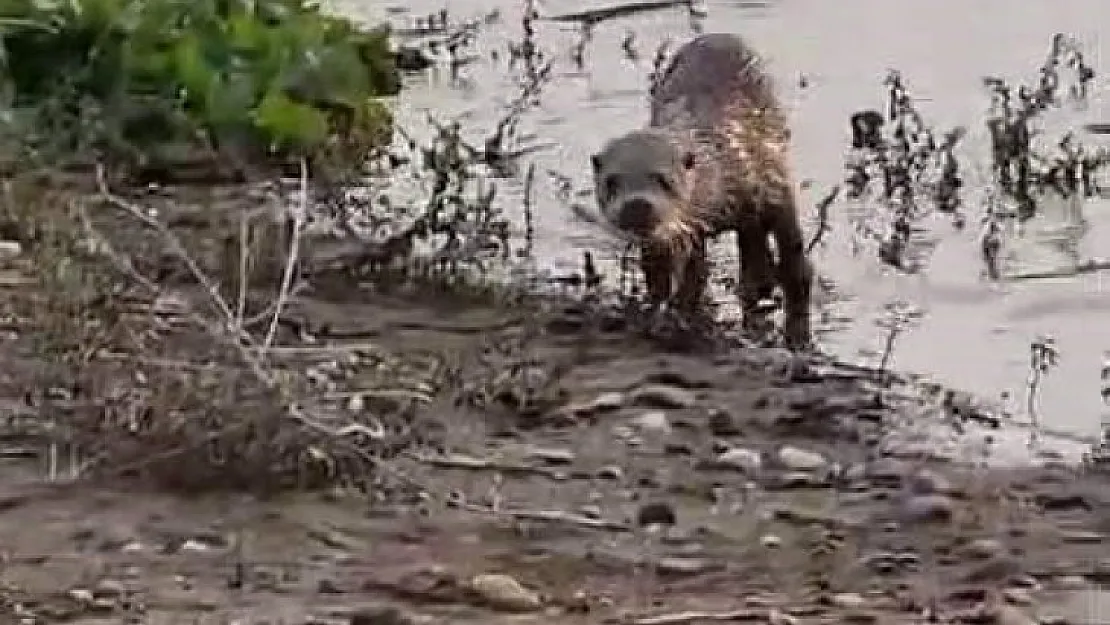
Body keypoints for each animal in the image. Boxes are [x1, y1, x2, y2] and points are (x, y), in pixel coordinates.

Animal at [590, 31, 816, 350]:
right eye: (611, 182)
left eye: (663, 179)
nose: (636, 205)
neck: (727, 166)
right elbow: (672, 274)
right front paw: (665, 311)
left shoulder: (774, 185)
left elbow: (795, 258)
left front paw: (797, 333)